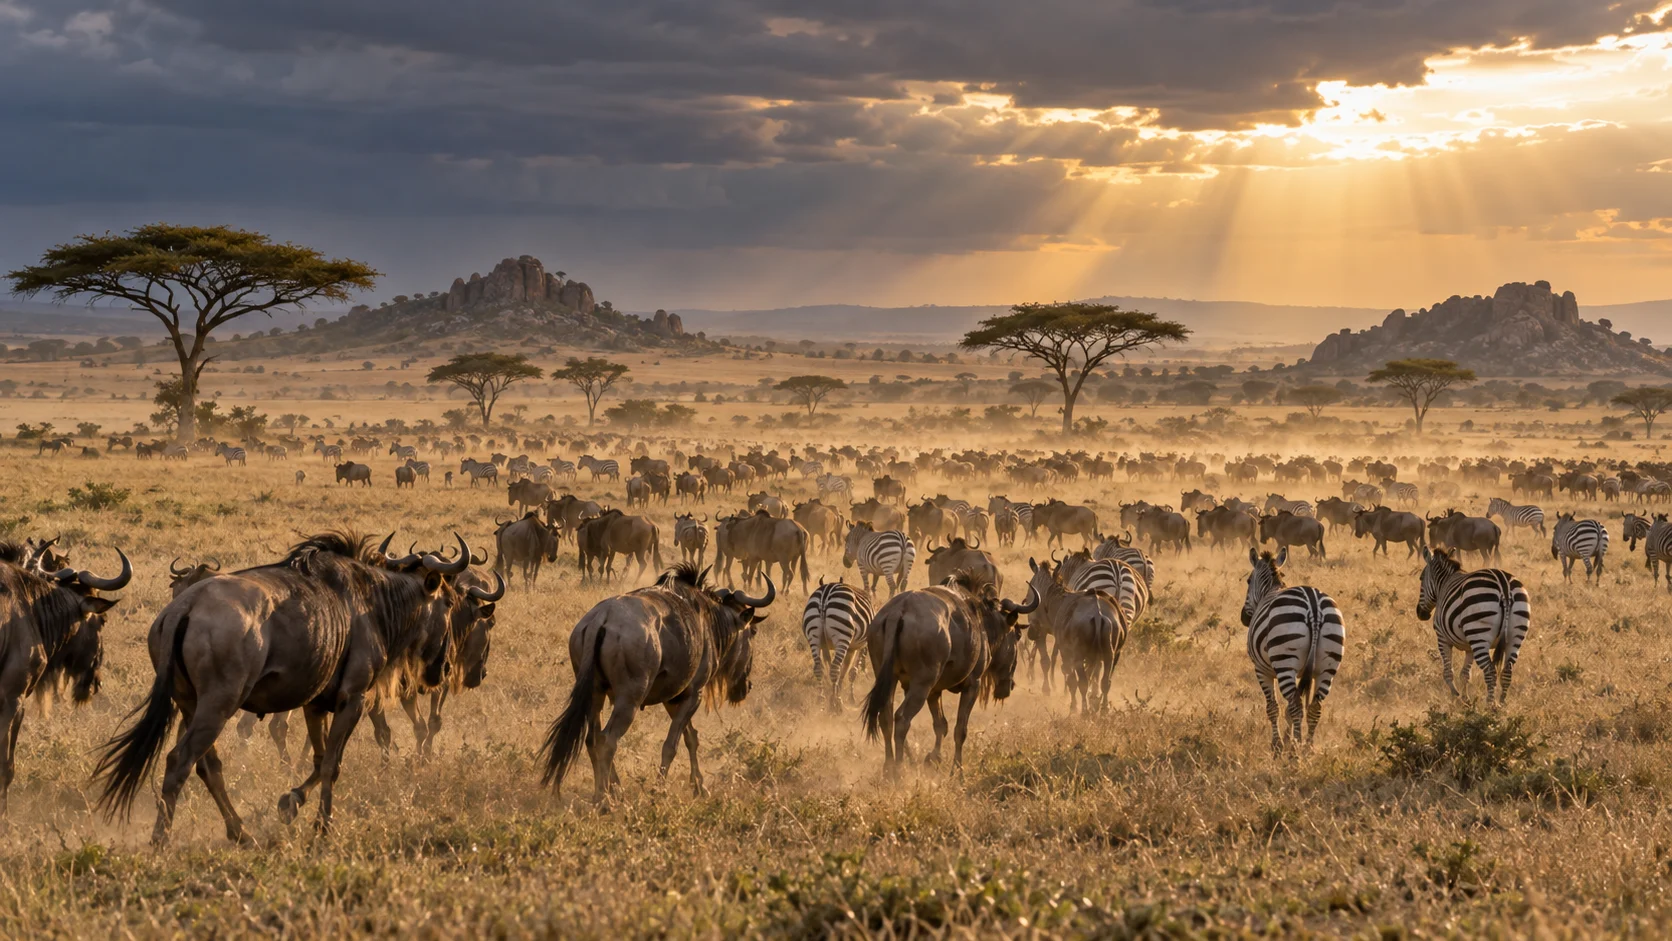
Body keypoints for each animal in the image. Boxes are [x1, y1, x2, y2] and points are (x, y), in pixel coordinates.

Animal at [802, 579, 875, 710]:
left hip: (813, 636)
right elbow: (852, 671)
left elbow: (843, 667)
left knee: (819, 668)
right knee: (835, 668)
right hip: (842, 635)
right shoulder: (862, 645)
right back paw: (835, 703)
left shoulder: (830, 646)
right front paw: (850, 698)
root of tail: (825, 595)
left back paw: (821, 700)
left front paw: (837, 689)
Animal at [1242, 548, 1346, 754]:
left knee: (1297, 706)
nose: (1243, 618)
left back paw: (1294, 753)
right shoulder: (1310, 673)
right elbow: (1291, 709)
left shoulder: (1262, 670)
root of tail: (1314, 607)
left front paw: (1278, 745)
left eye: (1248, 581)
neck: (1271, 589)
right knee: (1314, 707)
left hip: (1284, 661)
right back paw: (1307, 748)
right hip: (1327, 667)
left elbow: (1273, 708)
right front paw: (1288, 739)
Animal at [1417, 546, 1531, 703]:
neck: (1444, 583)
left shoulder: (1442, 637)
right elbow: (1465, 674)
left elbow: (1448, 672)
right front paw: (1465, 700)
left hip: (1479, 634)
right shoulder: (1469, 646)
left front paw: (1455, 696)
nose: (1420, 614)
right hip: (1515, 636)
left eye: (1421, 578)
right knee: (1507, 671)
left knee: (1490, 671)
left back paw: (1490, 705)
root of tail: (1504, 586)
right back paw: (1502, 703)